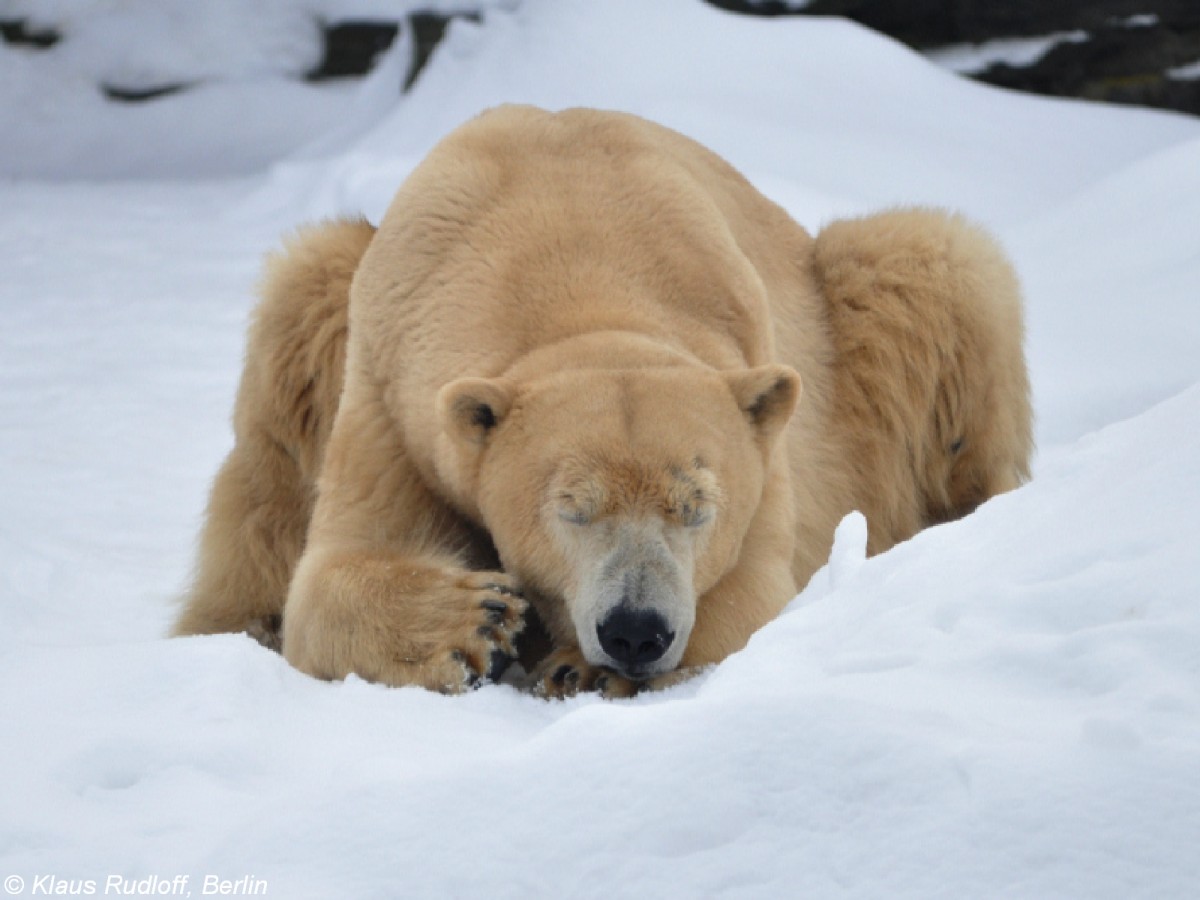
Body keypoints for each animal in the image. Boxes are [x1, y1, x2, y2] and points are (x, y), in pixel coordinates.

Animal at [171, 103, 1032, 696]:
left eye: (697, 506)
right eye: (571, 507)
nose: (635, 632)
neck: (570, 248)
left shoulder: (759, 408)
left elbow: (752, 597)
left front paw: (579, 669)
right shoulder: (392, 381)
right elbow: (329, 573)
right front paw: (473, 618)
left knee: (933, 264)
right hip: (326, 300)